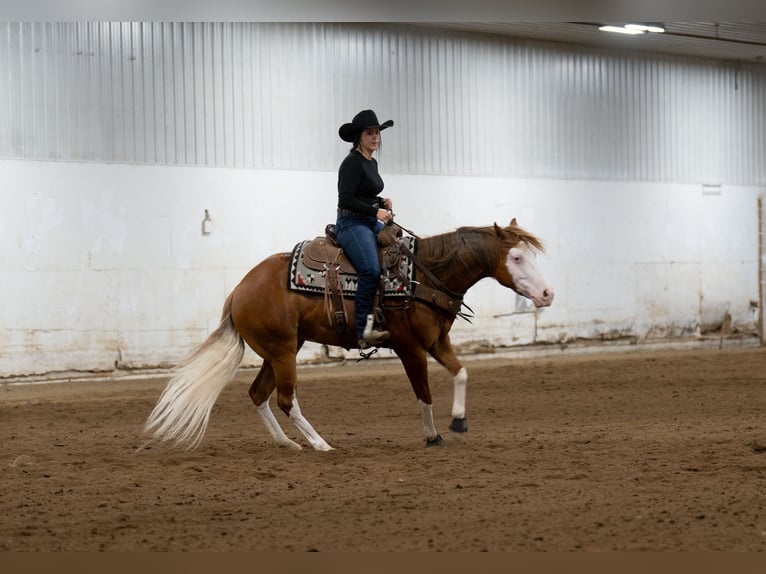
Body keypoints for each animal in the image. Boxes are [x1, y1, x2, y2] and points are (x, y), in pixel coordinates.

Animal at [143, 218, 554, 451]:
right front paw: (432, 435)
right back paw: (319, 444)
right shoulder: (410, 348)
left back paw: (287, 443)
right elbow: (423, 392)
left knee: (259, 393)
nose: (547, 294)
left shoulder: (437, 342)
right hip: (283, 351)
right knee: (285, 399)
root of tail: (238, 291)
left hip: (280, 351)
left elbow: (462, 372)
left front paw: (458, 421)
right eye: (517, 258)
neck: (422, 275)